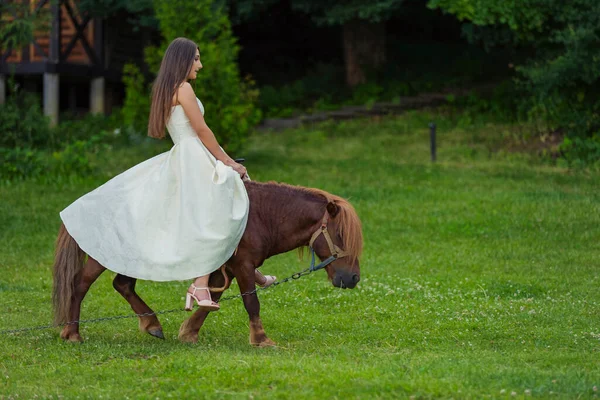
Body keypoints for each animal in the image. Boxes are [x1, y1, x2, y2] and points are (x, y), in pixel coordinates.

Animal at [52, 181, 360, 346]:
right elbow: (251, 301)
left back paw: (152, 324)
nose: (353, 278)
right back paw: (72, 333)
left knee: (122, 284)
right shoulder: (243, 264)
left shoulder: (226, 268)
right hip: (101, 255)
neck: (261, 216)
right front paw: (261, 339)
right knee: (79, 284)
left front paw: (189, 332)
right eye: (340, 235)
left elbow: (212, 297)